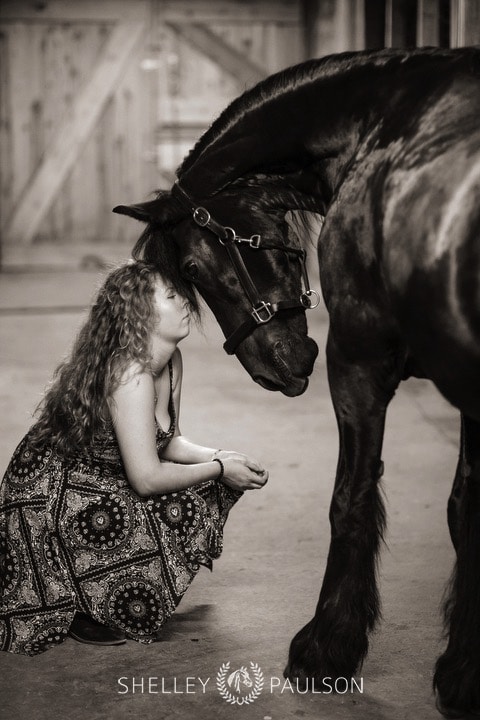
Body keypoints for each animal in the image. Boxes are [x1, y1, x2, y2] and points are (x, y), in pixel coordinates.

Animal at [114, 47, 480, 716]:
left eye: (193, 266)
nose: (275, 367)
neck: (383, 124)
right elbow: (464, 505)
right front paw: (466, 667)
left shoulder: (356, 359)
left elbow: (349, 499)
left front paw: (325, 649)